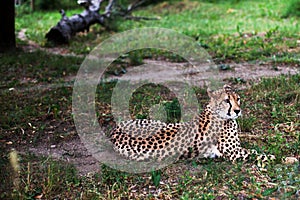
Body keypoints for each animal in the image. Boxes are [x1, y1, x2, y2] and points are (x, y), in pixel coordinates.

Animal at [109, 84, 272, 164]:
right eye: (227, 100)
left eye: (238, 99)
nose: (238, 111)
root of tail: (115, 130)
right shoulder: (233, 153)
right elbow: (257, 154)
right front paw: (274, 157)